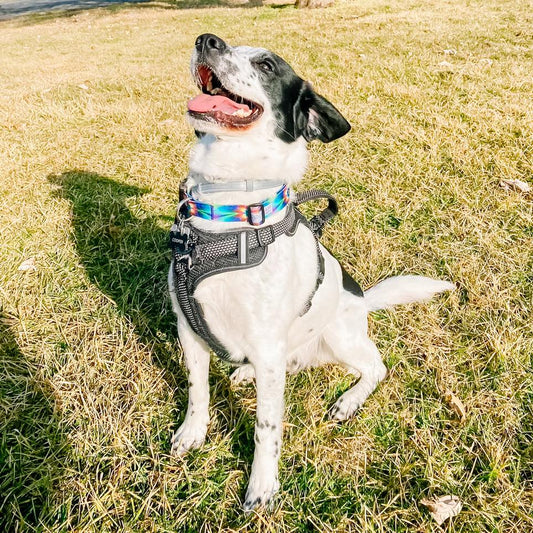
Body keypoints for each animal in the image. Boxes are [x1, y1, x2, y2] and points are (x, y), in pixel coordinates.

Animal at [167, 34, 454, 512]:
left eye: (266, 65)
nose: (206, 40)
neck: (229, 212)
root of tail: (363, 299)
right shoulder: (189, 329)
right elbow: (197, 391)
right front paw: (193, 433)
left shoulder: (265, 345)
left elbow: (266, 429)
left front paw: (262, 487)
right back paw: (245, 373)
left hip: (338, 336)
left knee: (376, 367)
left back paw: (349, 401)